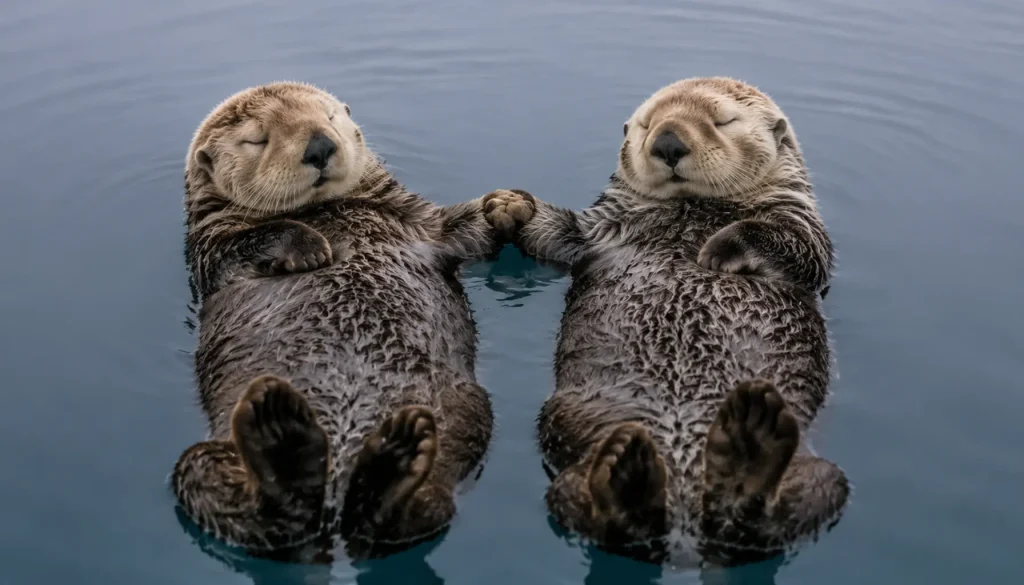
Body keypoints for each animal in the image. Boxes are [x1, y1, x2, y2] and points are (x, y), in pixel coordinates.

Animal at [172, 82, 532, 561]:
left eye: (328, 118)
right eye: (257, 139)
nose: (320, 146)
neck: (324, 210)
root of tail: (338, 479)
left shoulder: (421, 225)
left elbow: (462, 228)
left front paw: (507, 204)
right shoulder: (209, 254)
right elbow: (248, 240)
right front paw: (309, 247)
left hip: (467, 419)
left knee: (407, 514)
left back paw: (391, 465)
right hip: (207, 459)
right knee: (260, 514)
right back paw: (283, 436)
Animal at [493, 77, 849, 566]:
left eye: (723, 120)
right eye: (646, 124)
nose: (667, 142)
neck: (691, 209)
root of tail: (684, 528)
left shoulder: (802, 224)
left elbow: (795, 244)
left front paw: (719, 248)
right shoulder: (600, 228)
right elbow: (559, 233)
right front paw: (510, 206)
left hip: (820, 483)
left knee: (763, 525)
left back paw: (749, 450)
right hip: (567, 444)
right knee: (603, 516)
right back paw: (628, 476)